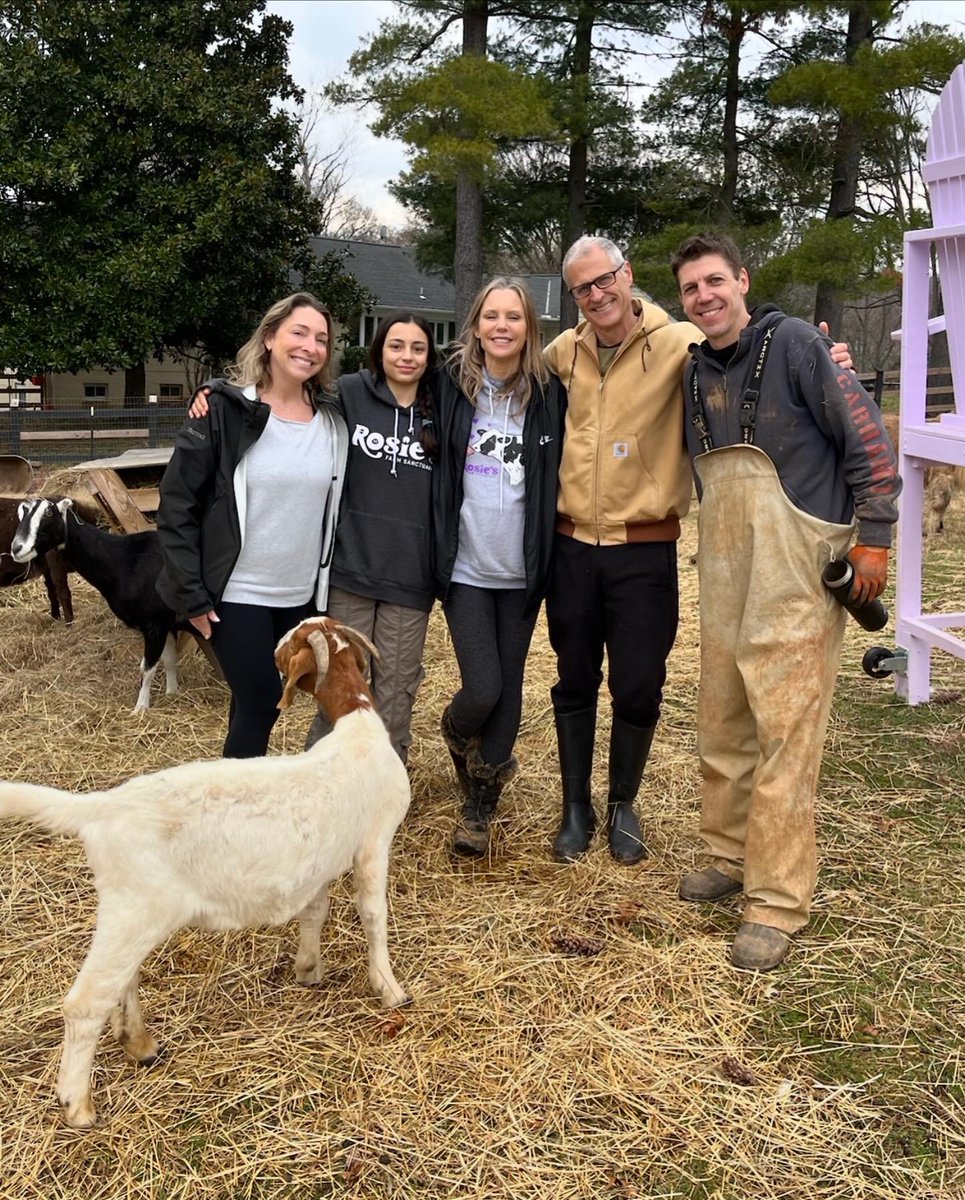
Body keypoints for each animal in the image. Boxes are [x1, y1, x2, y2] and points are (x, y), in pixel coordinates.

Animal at [0, 614, 410, 1128]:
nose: (272, 648)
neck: (356, 727)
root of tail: (102, 808)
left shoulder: (320, 862)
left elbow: (315, 911)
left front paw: (308, 968)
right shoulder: (374, 842)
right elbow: (374, 916)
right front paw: (391, 989)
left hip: (129, 913)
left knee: (121, 979)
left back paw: (138, 1042)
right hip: (135, 907)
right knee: (85, 1001)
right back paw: (77, 1105)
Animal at [11, 496, 188, 710]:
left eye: (49, 513)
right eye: (21, 514)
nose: (17, 549)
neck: (125, 561)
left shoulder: (155, 623)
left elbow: (147, 668)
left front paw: (140, 708)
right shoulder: (166, 623)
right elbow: (169, 659)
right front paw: (172, 694)